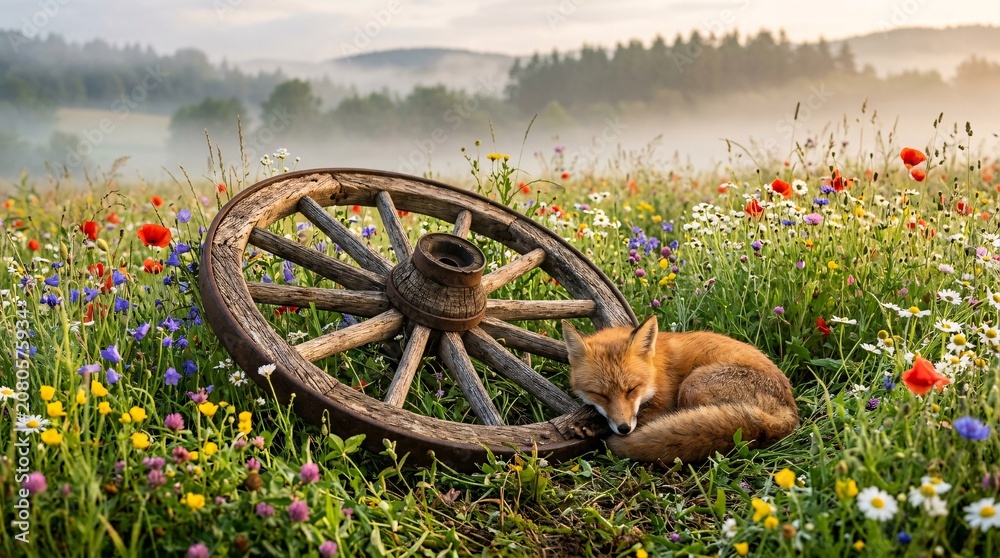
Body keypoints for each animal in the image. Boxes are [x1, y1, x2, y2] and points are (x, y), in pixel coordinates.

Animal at [561, 316, 798, 464]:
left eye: (632, 389)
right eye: (600, 394)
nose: (624, 429)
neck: (655, 371)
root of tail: (791, 414)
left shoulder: (663, 405)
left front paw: (592, 425)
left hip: (691, 386)